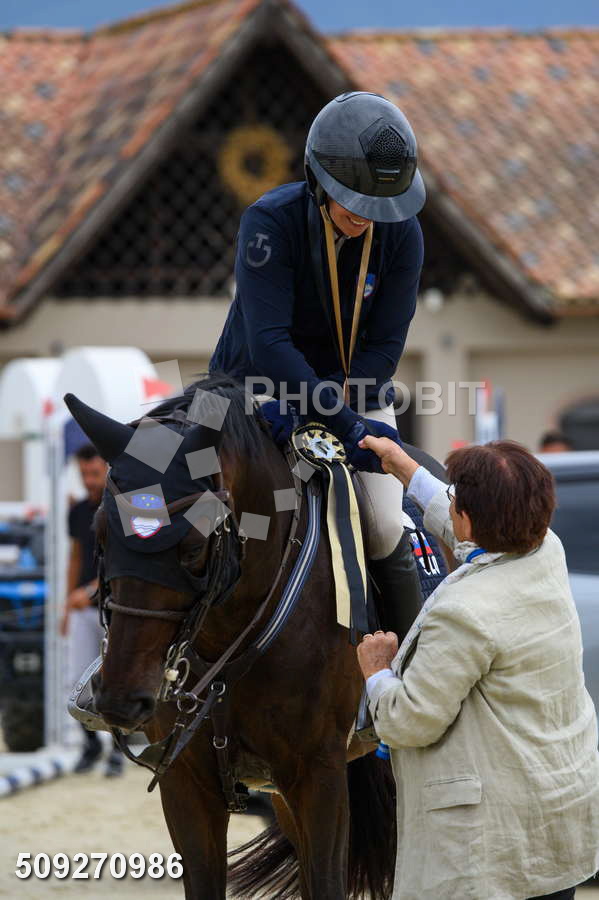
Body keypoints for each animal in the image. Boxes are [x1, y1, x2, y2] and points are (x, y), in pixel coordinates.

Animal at [65, 372, 403, 900]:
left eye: (193, 545)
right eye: (100, 532)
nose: (120, 698)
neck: (228, 638)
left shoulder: (319, 776)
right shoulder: (187, 785)